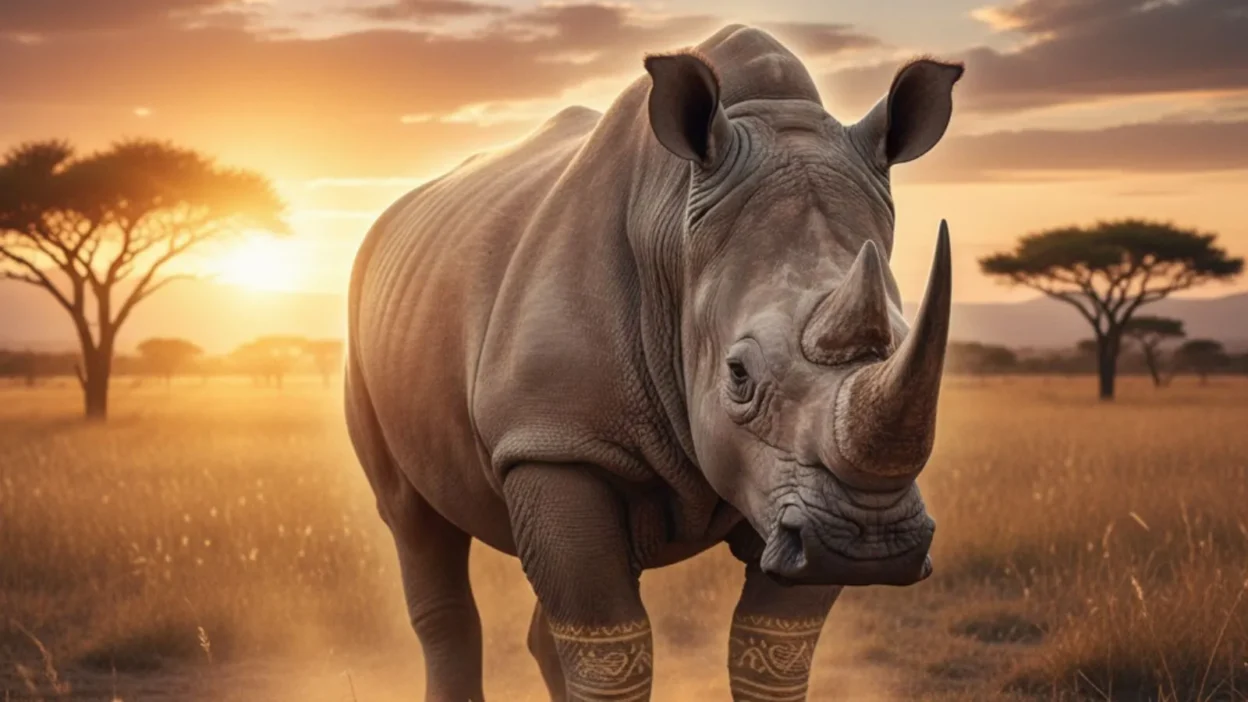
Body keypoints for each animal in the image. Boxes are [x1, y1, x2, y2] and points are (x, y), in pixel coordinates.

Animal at [346, 24, 962, 702]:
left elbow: (773, 650)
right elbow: (611, 647)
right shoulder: (552, 438)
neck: (675, 237)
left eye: (909, 345)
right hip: (365, 326)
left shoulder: (794, 496)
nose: (868, 540)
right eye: (738, 375)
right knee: (412, 520)